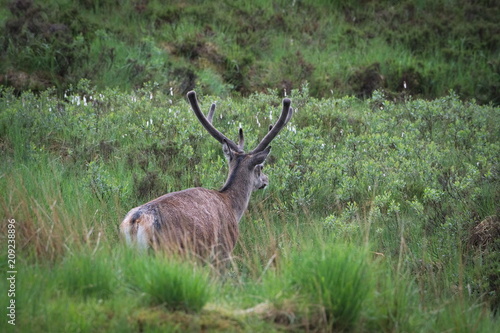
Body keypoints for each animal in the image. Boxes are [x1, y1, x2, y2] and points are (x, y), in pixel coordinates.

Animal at [121, 90, 292, 260]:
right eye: (261, 167)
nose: (266, 180)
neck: (232, 206)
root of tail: (136, 221)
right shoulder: (223, 249)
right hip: (169, 251)